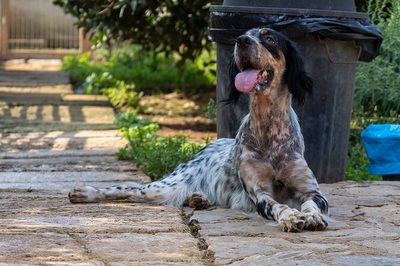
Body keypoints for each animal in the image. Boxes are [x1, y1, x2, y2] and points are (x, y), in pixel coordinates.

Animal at [69, 28, 330, 233]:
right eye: (245, 34)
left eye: (269, 39)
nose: (241, 40)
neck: (269, 130)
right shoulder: (259, 193)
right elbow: (279, 205)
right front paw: (291, 216)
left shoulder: (311, 190)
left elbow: (311, 204)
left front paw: (313, 216)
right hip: (163, 187)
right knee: (128, 189)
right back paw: (86, 192)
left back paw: (197, 199)